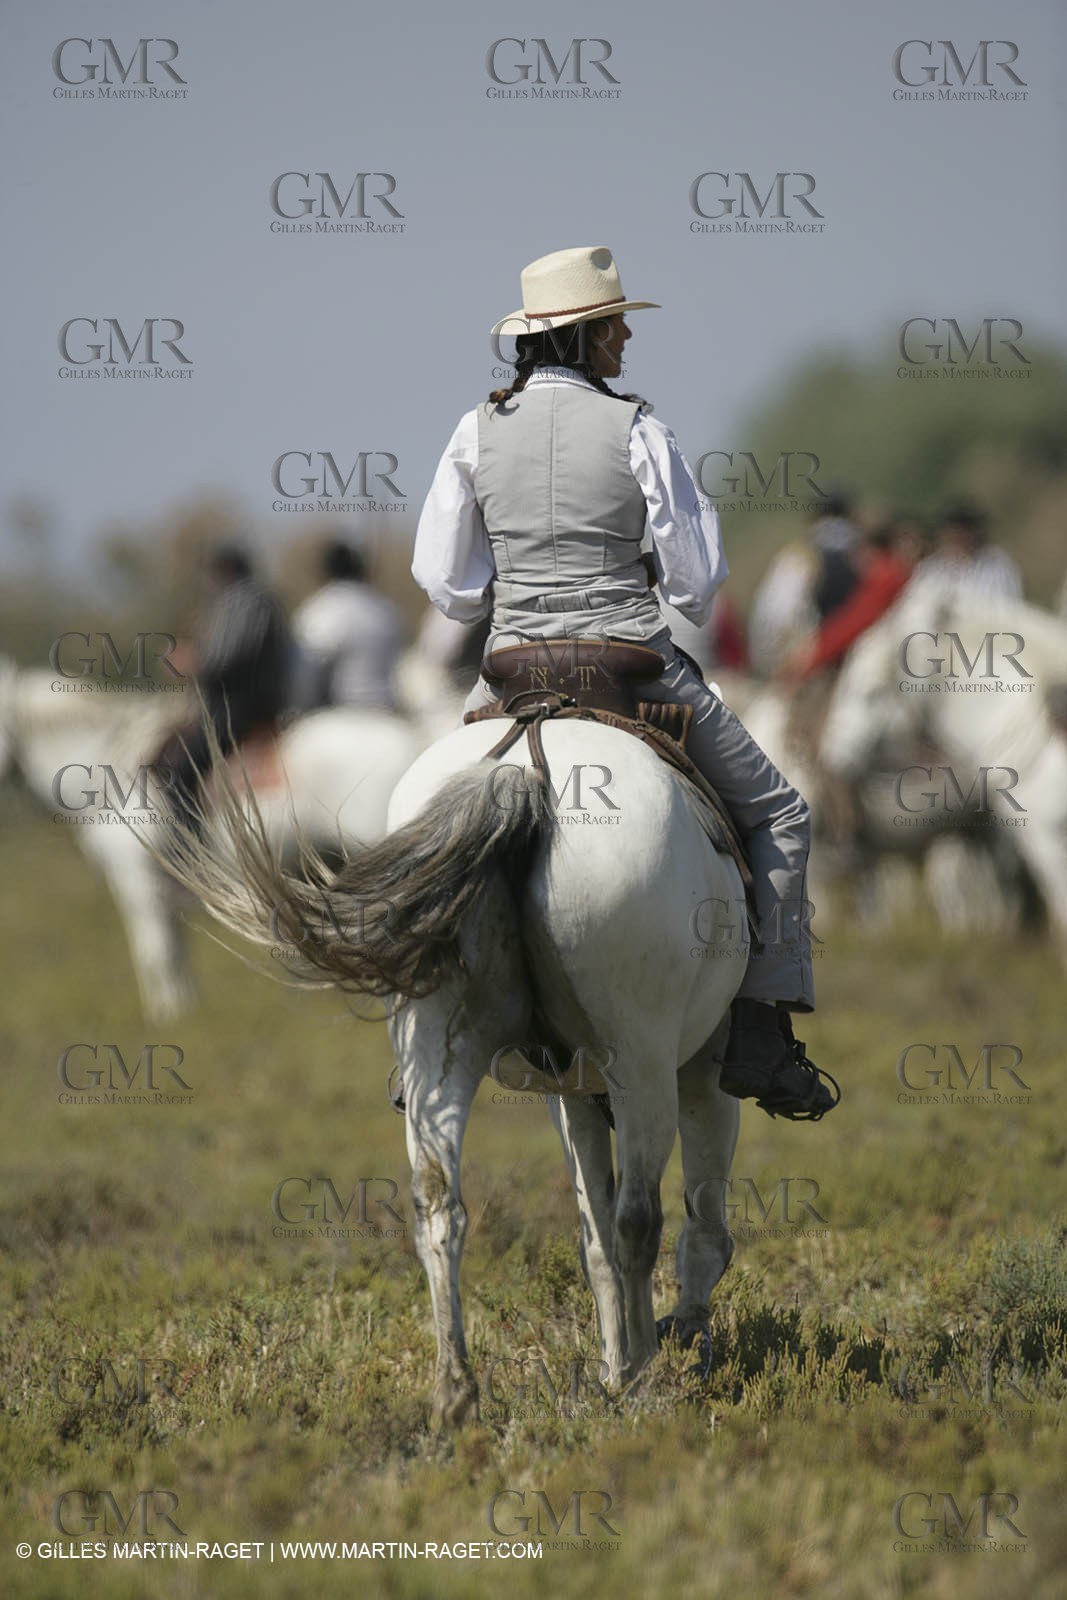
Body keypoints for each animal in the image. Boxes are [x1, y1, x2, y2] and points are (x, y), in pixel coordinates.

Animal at [156, 707, 750, 1427]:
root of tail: (524, 771)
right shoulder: (699, 1073)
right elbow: (685, 1223)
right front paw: (665, 1342)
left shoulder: (573, 1092)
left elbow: (593, 1234)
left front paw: (616, 1361)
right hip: (641, 1064)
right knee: (638, 1217)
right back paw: (640, 1381)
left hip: (438, 1048)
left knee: (439, 1201)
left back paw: (456, 1390)